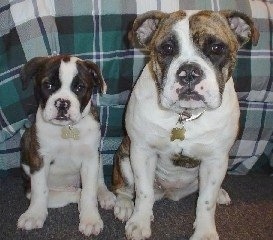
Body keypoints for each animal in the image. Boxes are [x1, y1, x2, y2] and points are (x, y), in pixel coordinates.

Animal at [17, 55, 115, 237]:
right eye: (48, 85)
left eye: (79, 87)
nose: (62, 103)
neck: (66, 129)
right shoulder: (39, 159)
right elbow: (40, 190)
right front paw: (34, 214)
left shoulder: (90, 159)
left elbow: (90, 191)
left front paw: (90, 219)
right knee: (59, 194)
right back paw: (75, 194)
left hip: (97, 157)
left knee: (97, 182)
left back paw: (104, 195)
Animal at [111, 9, 258, 240]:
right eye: (167, 48)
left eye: (216, 48)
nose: (189, 71)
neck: (184, 116)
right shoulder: (142, 152)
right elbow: (143, 192)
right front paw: (139, 222)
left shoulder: (215, 160)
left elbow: (206, 201)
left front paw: (205, 232)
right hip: (124, 157)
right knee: (125, 187)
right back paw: (125, 206)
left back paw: (220, 194)